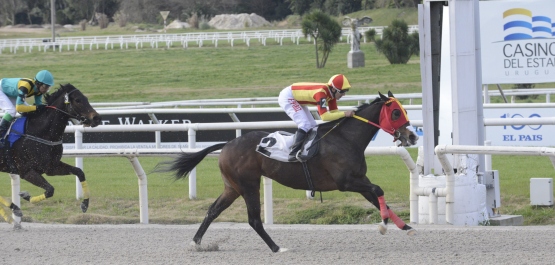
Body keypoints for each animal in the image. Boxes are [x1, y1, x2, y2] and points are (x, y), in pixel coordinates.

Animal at [0, 83, 101, 213]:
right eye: (78, 100)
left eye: (86, 99)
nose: (96, 118)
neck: (39, 133)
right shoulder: (26, 171)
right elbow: (50, 190)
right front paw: (25, 196)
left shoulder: (51, 167)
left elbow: (79, 172)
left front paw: (85, 203)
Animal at [154, 91, 420, 252]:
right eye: (396, 112)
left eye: (404, 111)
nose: (413, 136)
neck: (345, 139)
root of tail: (227, 144)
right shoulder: (346, 182)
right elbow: (379, 190)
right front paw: (384, 225)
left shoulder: (359, 179)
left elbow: (378, 198)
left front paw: (405, 227)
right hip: (248, 185)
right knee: (253, 219)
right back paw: (276, 248)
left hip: (232, 187)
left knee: (212, 211)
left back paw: (197, 243)